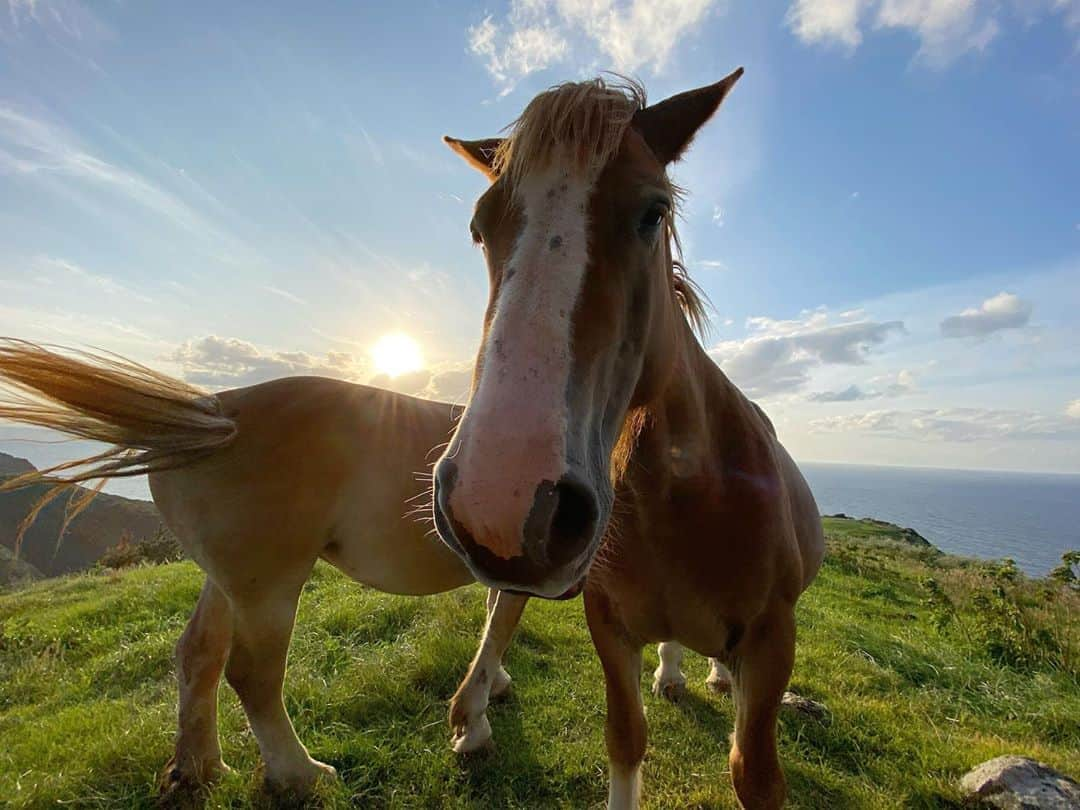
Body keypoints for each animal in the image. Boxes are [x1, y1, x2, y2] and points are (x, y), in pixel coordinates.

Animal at [0, 343, 527, 799]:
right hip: (269, 586)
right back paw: (298, 773)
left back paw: (200, 768)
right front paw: (474, 725)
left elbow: (492, 619)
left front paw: (493, 688)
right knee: (253, 674)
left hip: (228, 583)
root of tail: (215, 413)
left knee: (198, 654)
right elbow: (499, 626)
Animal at [434, 71, 820, 810]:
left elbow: (754, 773)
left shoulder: (772, 643)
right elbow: (624, 738)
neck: (686, 497)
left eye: (653, 212)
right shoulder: (609, 626)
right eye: (477, 227)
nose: (501, 500)